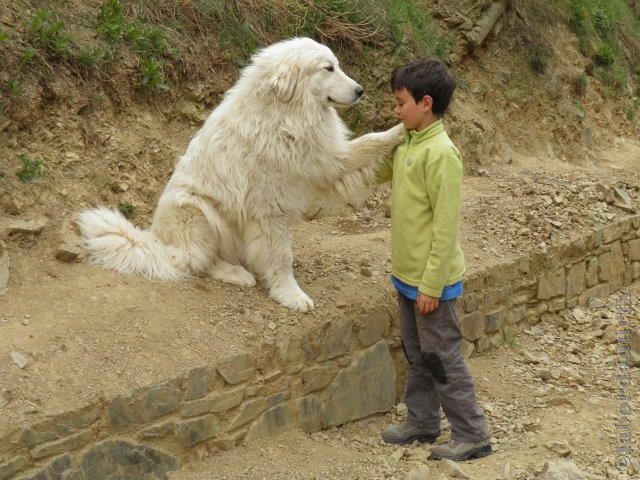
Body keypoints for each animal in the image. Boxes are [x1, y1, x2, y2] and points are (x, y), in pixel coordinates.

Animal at [77, 37, 402, 312]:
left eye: (337, 65)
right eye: (328, 68)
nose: (360, 91)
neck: (284, 115)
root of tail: (160, 243)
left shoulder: (327, 162)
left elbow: (368, 143)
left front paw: (400, 130)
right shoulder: (270, 208)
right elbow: (282, 257)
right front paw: (291, 296)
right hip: (197, 212)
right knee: (198, 263)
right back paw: (236, 274)